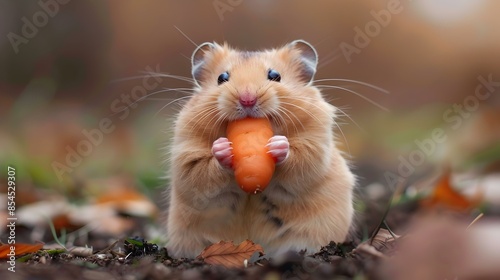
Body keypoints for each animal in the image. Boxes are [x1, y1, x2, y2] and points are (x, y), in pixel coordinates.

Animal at [166, 39, 354, 258]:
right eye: (222, 78)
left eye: (275, 75)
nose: (247, 99)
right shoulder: (186, 152)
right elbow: (197, 170)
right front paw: (222, 147)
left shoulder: (316, 145)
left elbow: (302, 158)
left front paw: (278, 144)